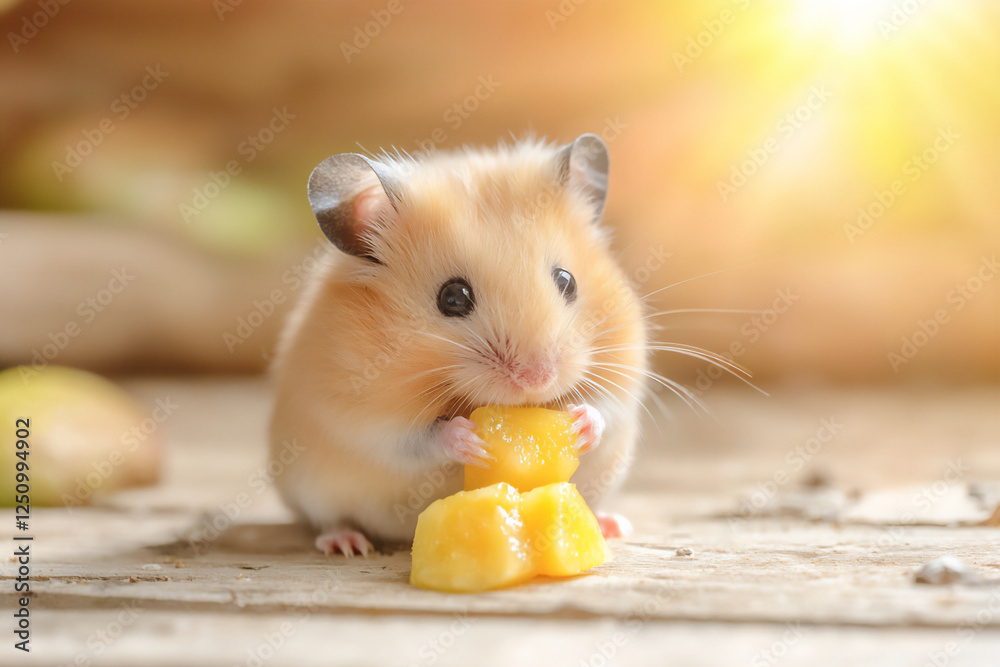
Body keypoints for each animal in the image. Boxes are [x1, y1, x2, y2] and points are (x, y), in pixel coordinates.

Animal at [268, 134, 647, 555]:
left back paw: (613, 524)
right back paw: (347, 543)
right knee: (328, 519)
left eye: (567, 280)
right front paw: (470, 440)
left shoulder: (625, 377)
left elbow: (607, 408)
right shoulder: (365, 419)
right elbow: (416, 439)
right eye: (452, 297)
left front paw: (581, 423)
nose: (537, 379)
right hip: (309, 486)